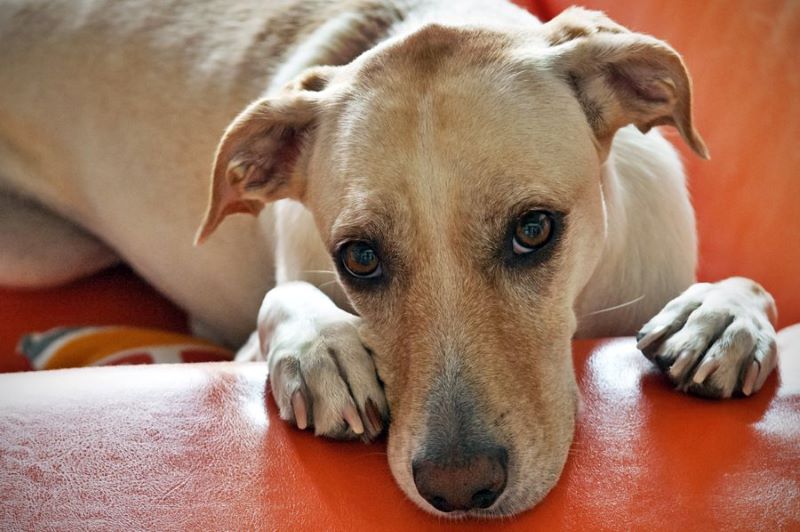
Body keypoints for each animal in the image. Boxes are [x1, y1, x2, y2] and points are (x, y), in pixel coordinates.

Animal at [0, 0, 776, 520]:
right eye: (360, 258)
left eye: (533, 230)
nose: (459, 489)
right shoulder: (257, 329)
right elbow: (283, 302)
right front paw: (325, 349)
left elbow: (751, 288)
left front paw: (724, 317)